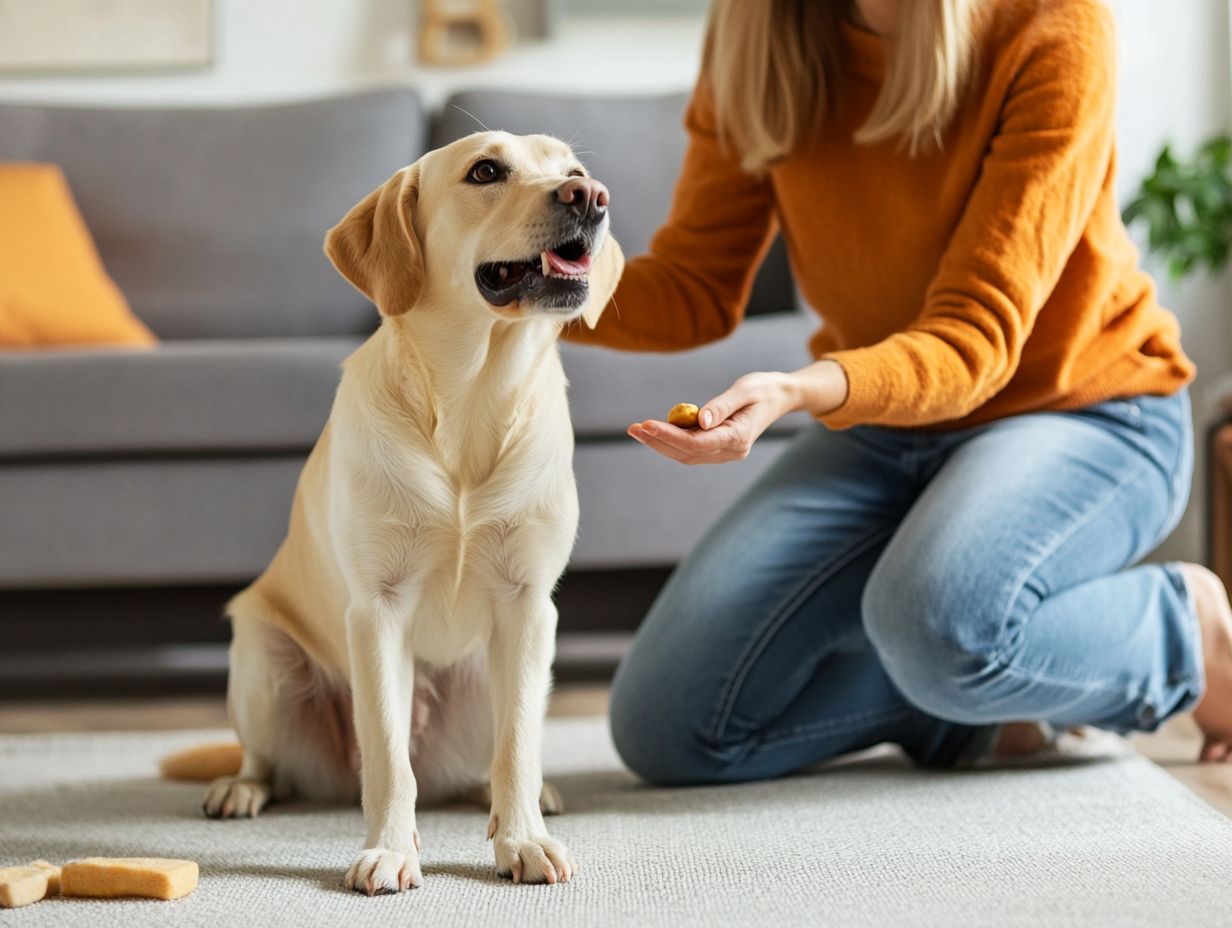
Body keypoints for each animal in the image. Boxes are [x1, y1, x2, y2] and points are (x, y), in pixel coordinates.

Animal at [205, 130, 625, 892]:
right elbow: (387, 756)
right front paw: (390, 851)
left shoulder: (528, 604)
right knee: (271, 759)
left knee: (491, 759)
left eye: (574, 170)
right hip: (262, 660)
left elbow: (518, 747)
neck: (471, 402)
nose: (591, 196)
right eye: (485, 171)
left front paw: (522, 840)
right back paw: (240, 788)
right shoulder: (378, 607)